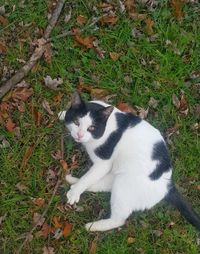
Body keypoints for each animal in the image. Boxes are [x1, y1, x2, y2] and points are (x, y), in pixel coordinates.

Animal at [59, 91, 200, 232]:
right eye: (76, 122)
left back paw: (92, 225)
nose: (79, 135)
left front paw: (75, 193)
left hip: (124, 185)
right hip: (118, 178)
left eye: (92, 128)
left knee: (118, 219)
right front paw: (62, 114)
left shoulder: (103, 163)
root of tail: (168, 185)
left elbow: (88, 178)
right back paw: (72, 180)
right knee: (101, 185)